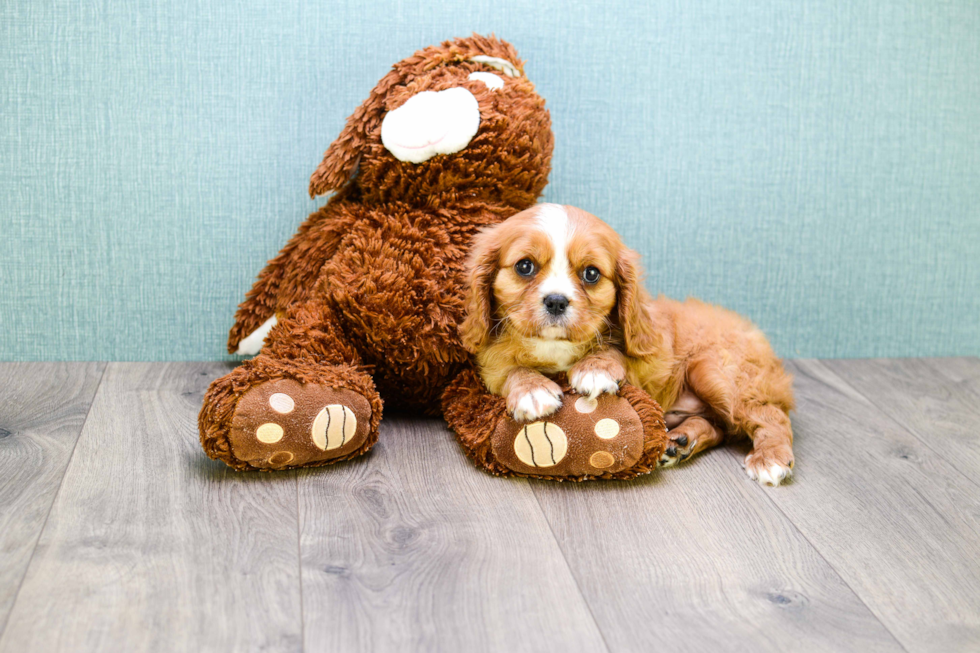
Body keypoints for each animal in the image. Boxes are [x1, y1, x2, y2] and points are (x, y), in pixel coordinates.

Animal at [462, 204, 796, 484]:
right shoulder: (489, 359)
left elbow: (616, 351)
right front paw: (532, 390)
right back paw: (680, 443)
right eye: (525, 266)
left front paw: (596, 369)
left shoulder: (649, 356)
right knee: (721, 428)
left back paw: (771, 459)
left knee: (771, 416)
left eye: (591, 273)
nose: (556, 301)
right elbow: (508, 367)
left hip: (716, 372)